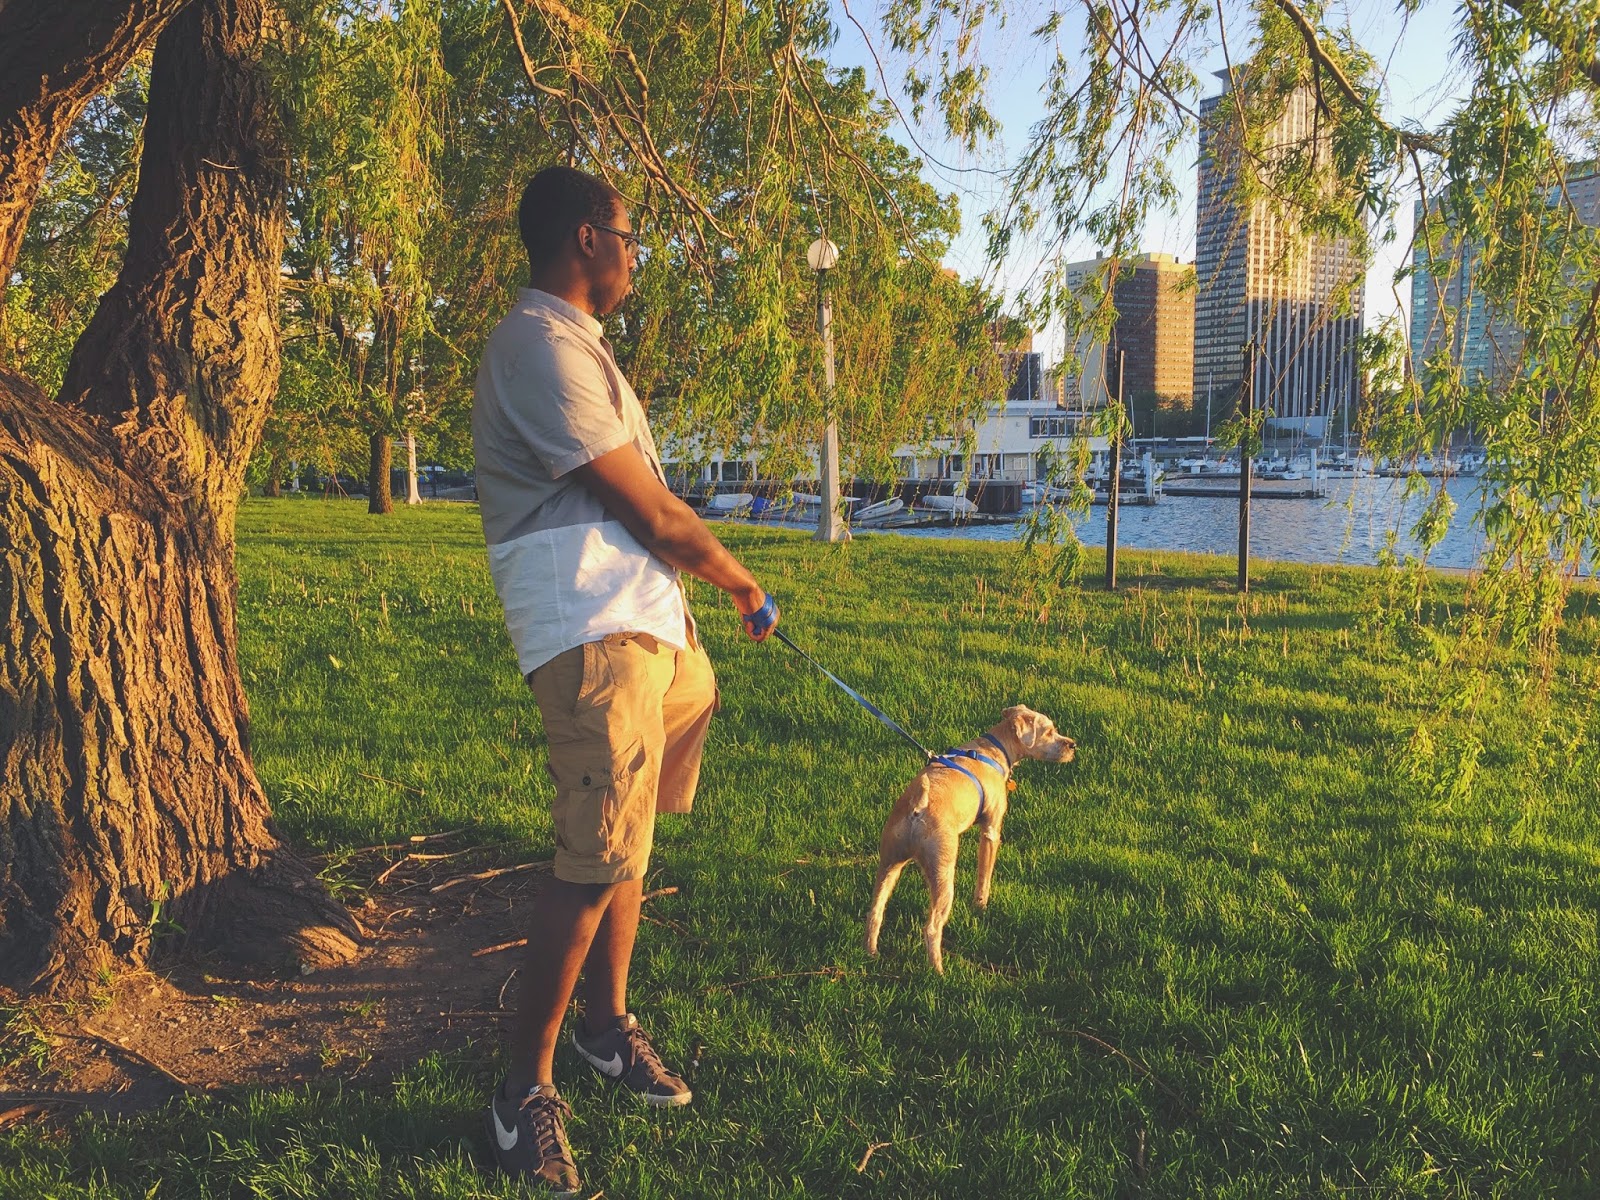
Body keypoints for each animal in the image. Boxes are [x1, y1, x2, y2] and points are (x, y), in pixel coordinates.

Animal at [864, 705, 1076, 973]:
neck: (994, 750)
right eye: (1049, 731)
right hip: (943, 871)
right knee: (932, 927)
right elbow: (984, 875)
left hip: (890, 862)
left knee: (875, 911)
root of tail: (917, 808)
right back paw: (938, 971)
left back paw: (871, 952)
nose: (1073, 745)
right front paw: (980, 907)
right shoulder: (991, 831)